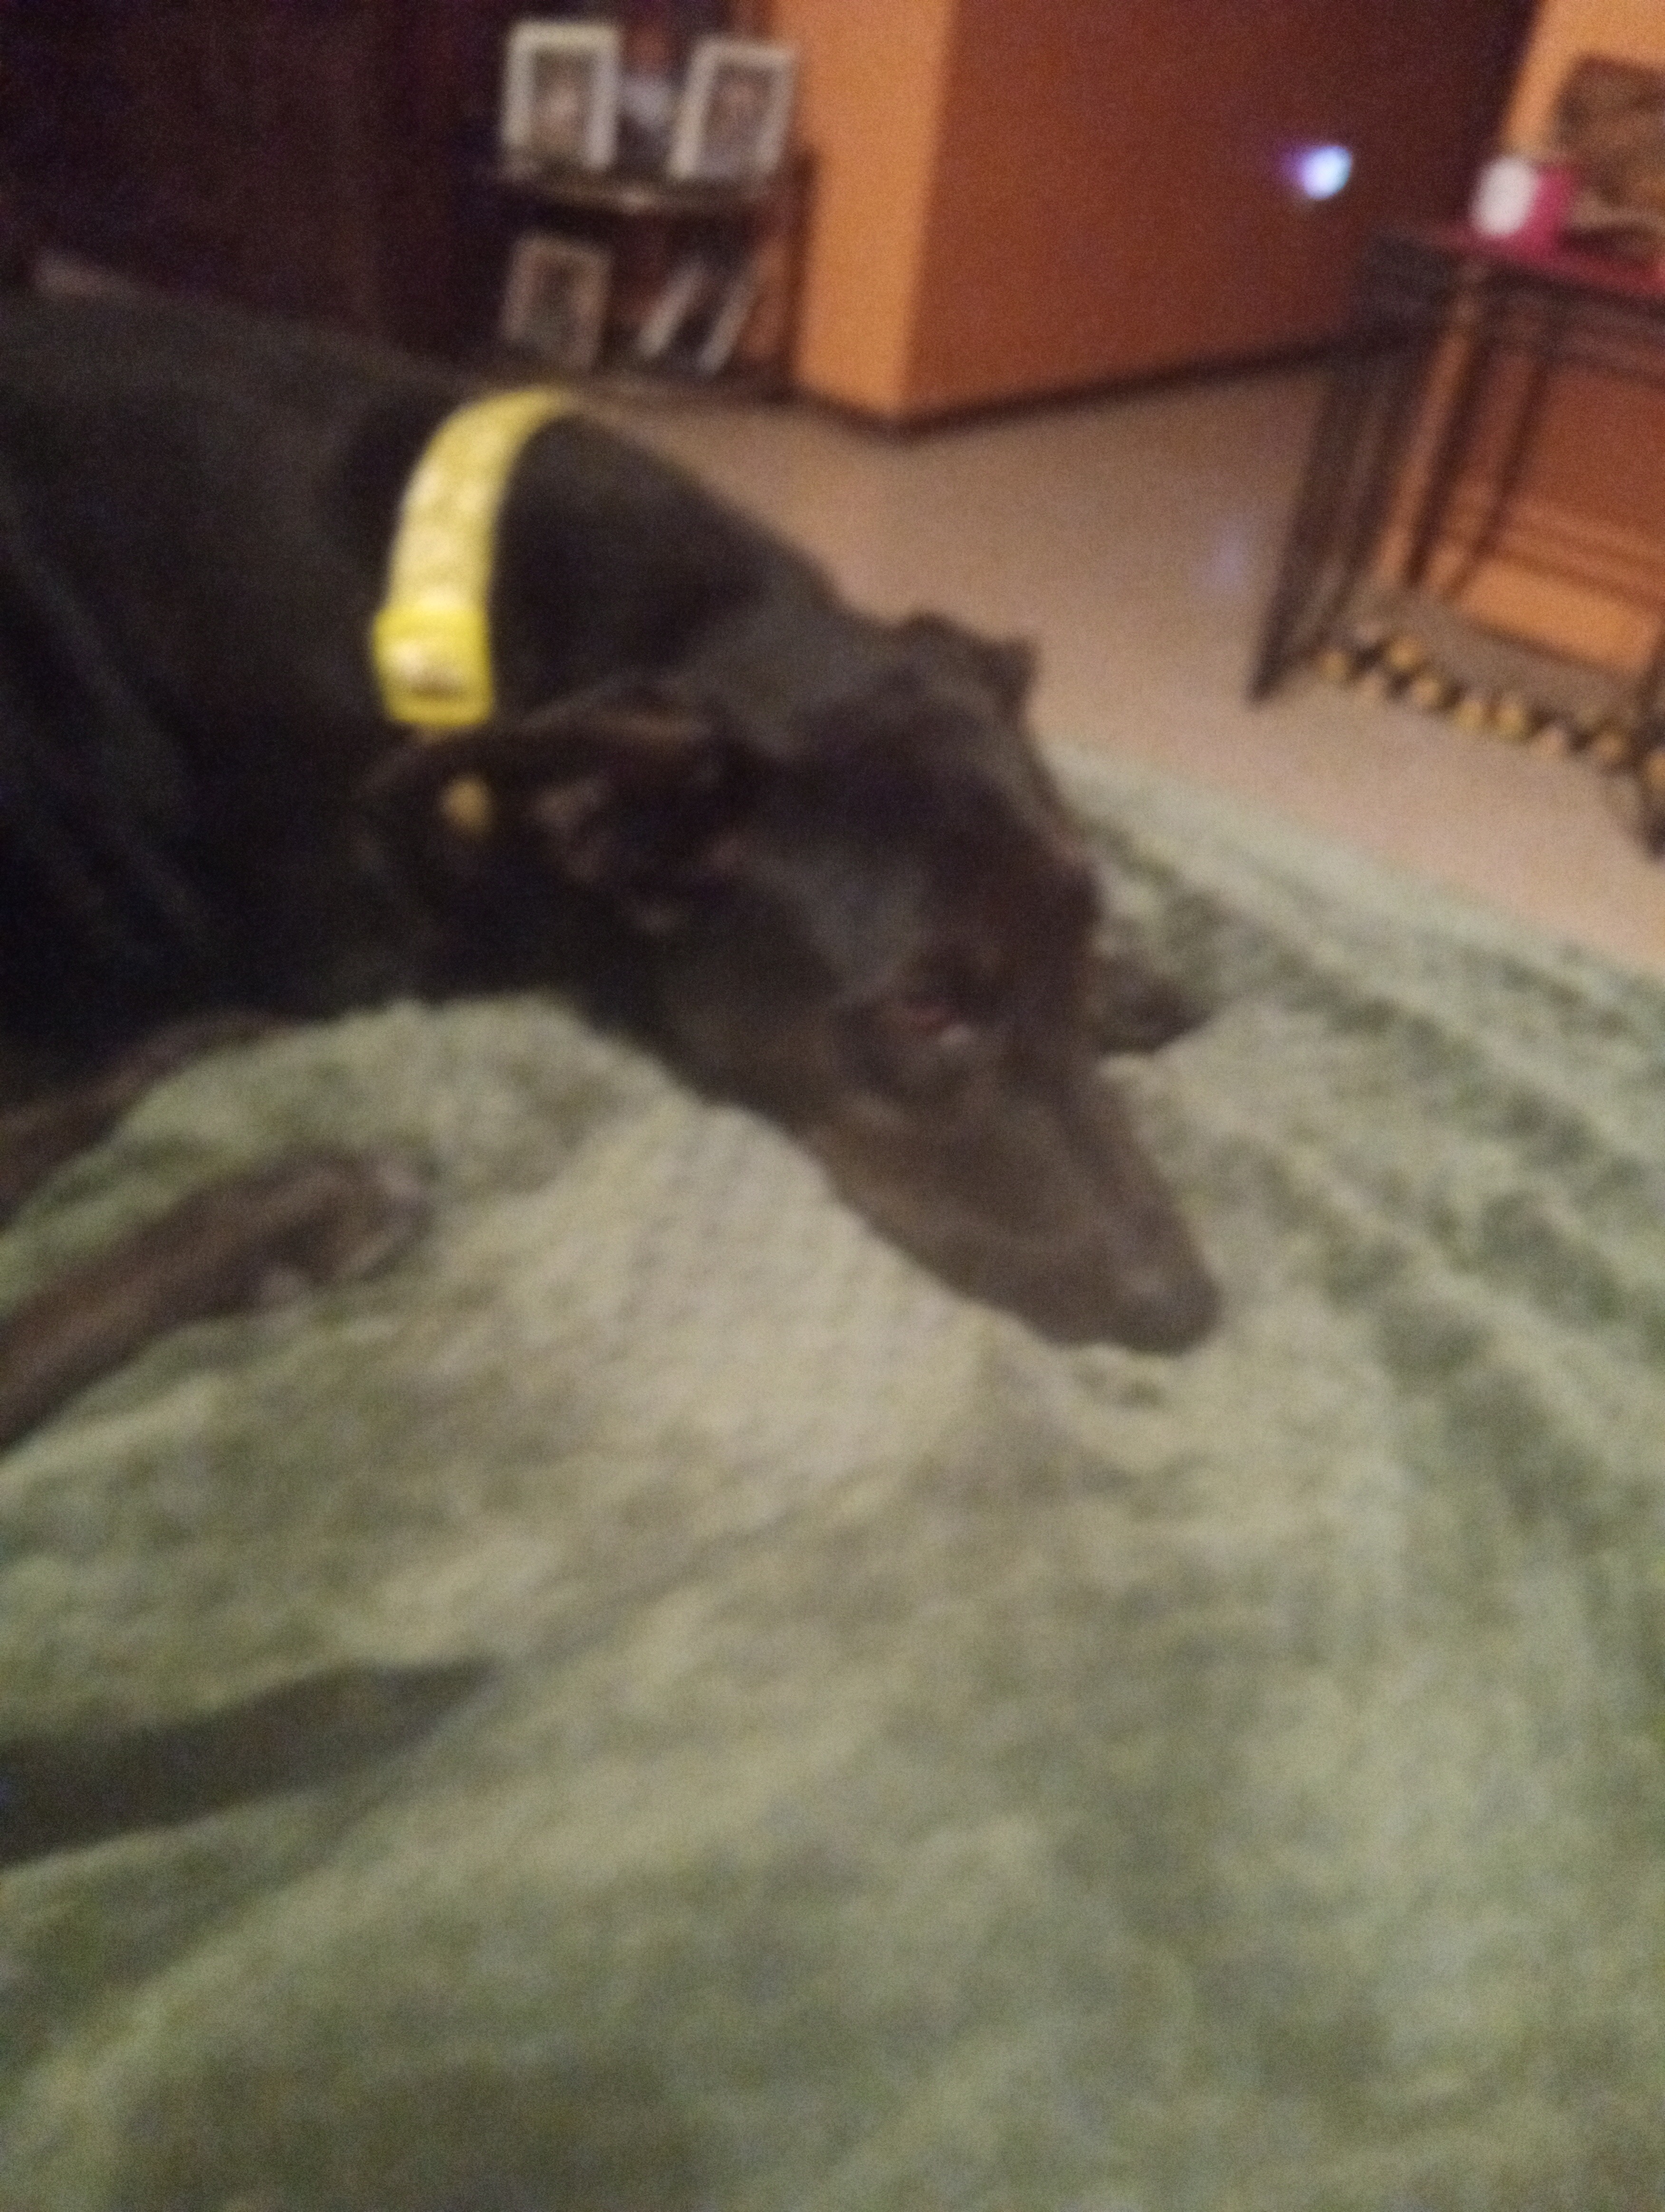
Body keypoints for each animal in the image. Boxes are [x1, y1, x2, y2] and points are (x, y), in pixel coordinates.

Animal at [0, 283, 1216, 1461]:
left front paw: (1124, 983)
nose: (1189, 1310)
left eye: (1081, 928)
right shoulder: (391, 942)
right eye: (922, 1009)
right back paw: (296, 1210)